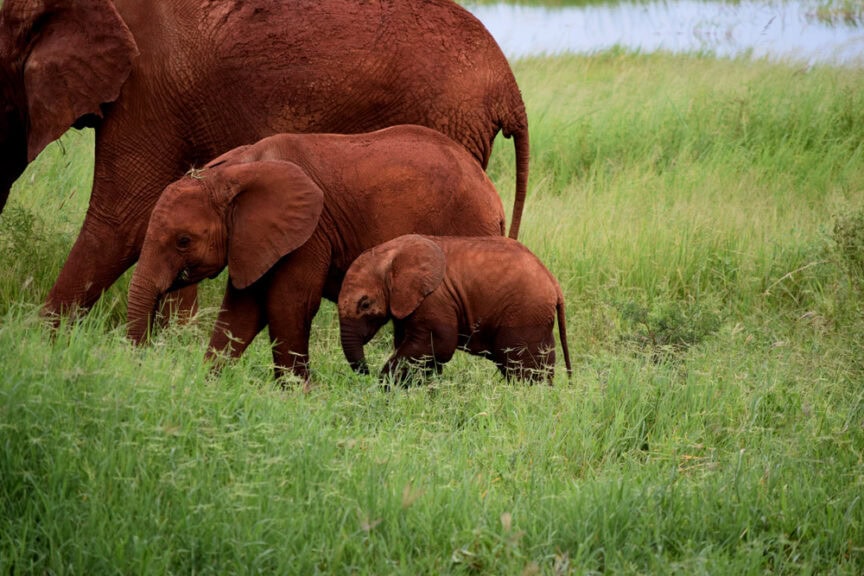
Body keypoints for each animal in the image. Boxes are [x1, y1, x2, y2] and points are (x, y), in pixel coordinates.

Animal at [127, 125, 507, 382]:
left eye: (183, 241)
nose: (143, 358)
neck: (232, 172)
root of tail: (490, 192)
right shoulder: (255, 239)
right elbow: (241, 311)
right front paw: (208, 382)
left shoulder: (309, 232)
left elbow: (288, 303)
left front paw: (298, 395)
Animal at [337, 234, 573, 384]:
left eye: (365, 304)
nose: (365, 372)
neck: (392, 252)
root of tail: (554, 283)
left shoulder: (434, 299)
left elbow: (439, 344)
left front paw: (385, 386)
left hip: (525, 315)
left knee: (523, 369)